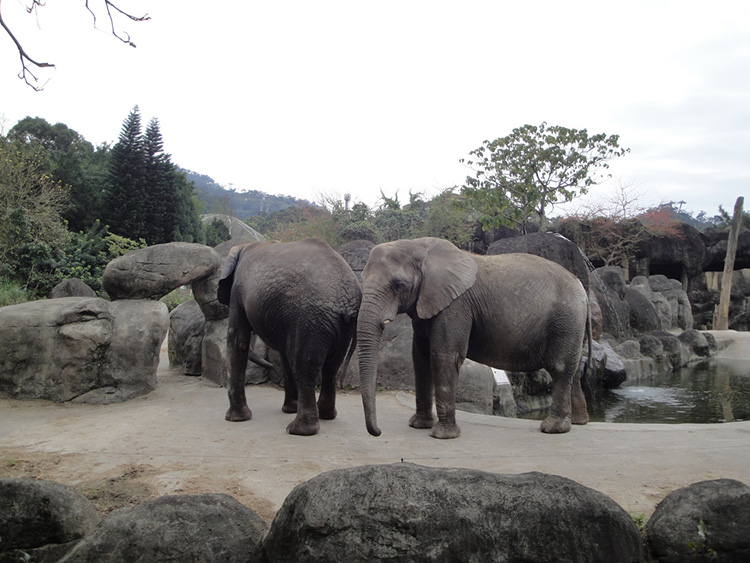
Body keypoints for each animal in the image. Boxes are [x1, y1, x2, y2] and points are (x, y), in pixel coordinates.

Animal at [216, 238, 362, 436]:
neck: (244, 246)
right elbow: (284, 352)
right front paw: (290, 408)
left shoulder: (237, 290)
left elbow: (238, 339)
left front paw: (236, 419)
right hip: (338, 325)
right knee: (331, 367)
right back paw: (325, 415)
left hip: (312, 318)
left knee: (306, 366)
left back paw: (298, 430)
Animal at [358, 238, 592, 440]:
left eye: (398, 285)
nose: (378, 432)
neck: (417, 245)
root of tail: (583, 288)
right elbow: (420, 358)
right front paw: (418, 425)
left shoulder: (456, 305)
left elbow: (443, 356)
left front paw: (442, 436)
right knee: (573, 370)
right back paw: (578, 422)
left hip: (566, 320)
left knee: (560, 368)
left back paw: (553, 428)